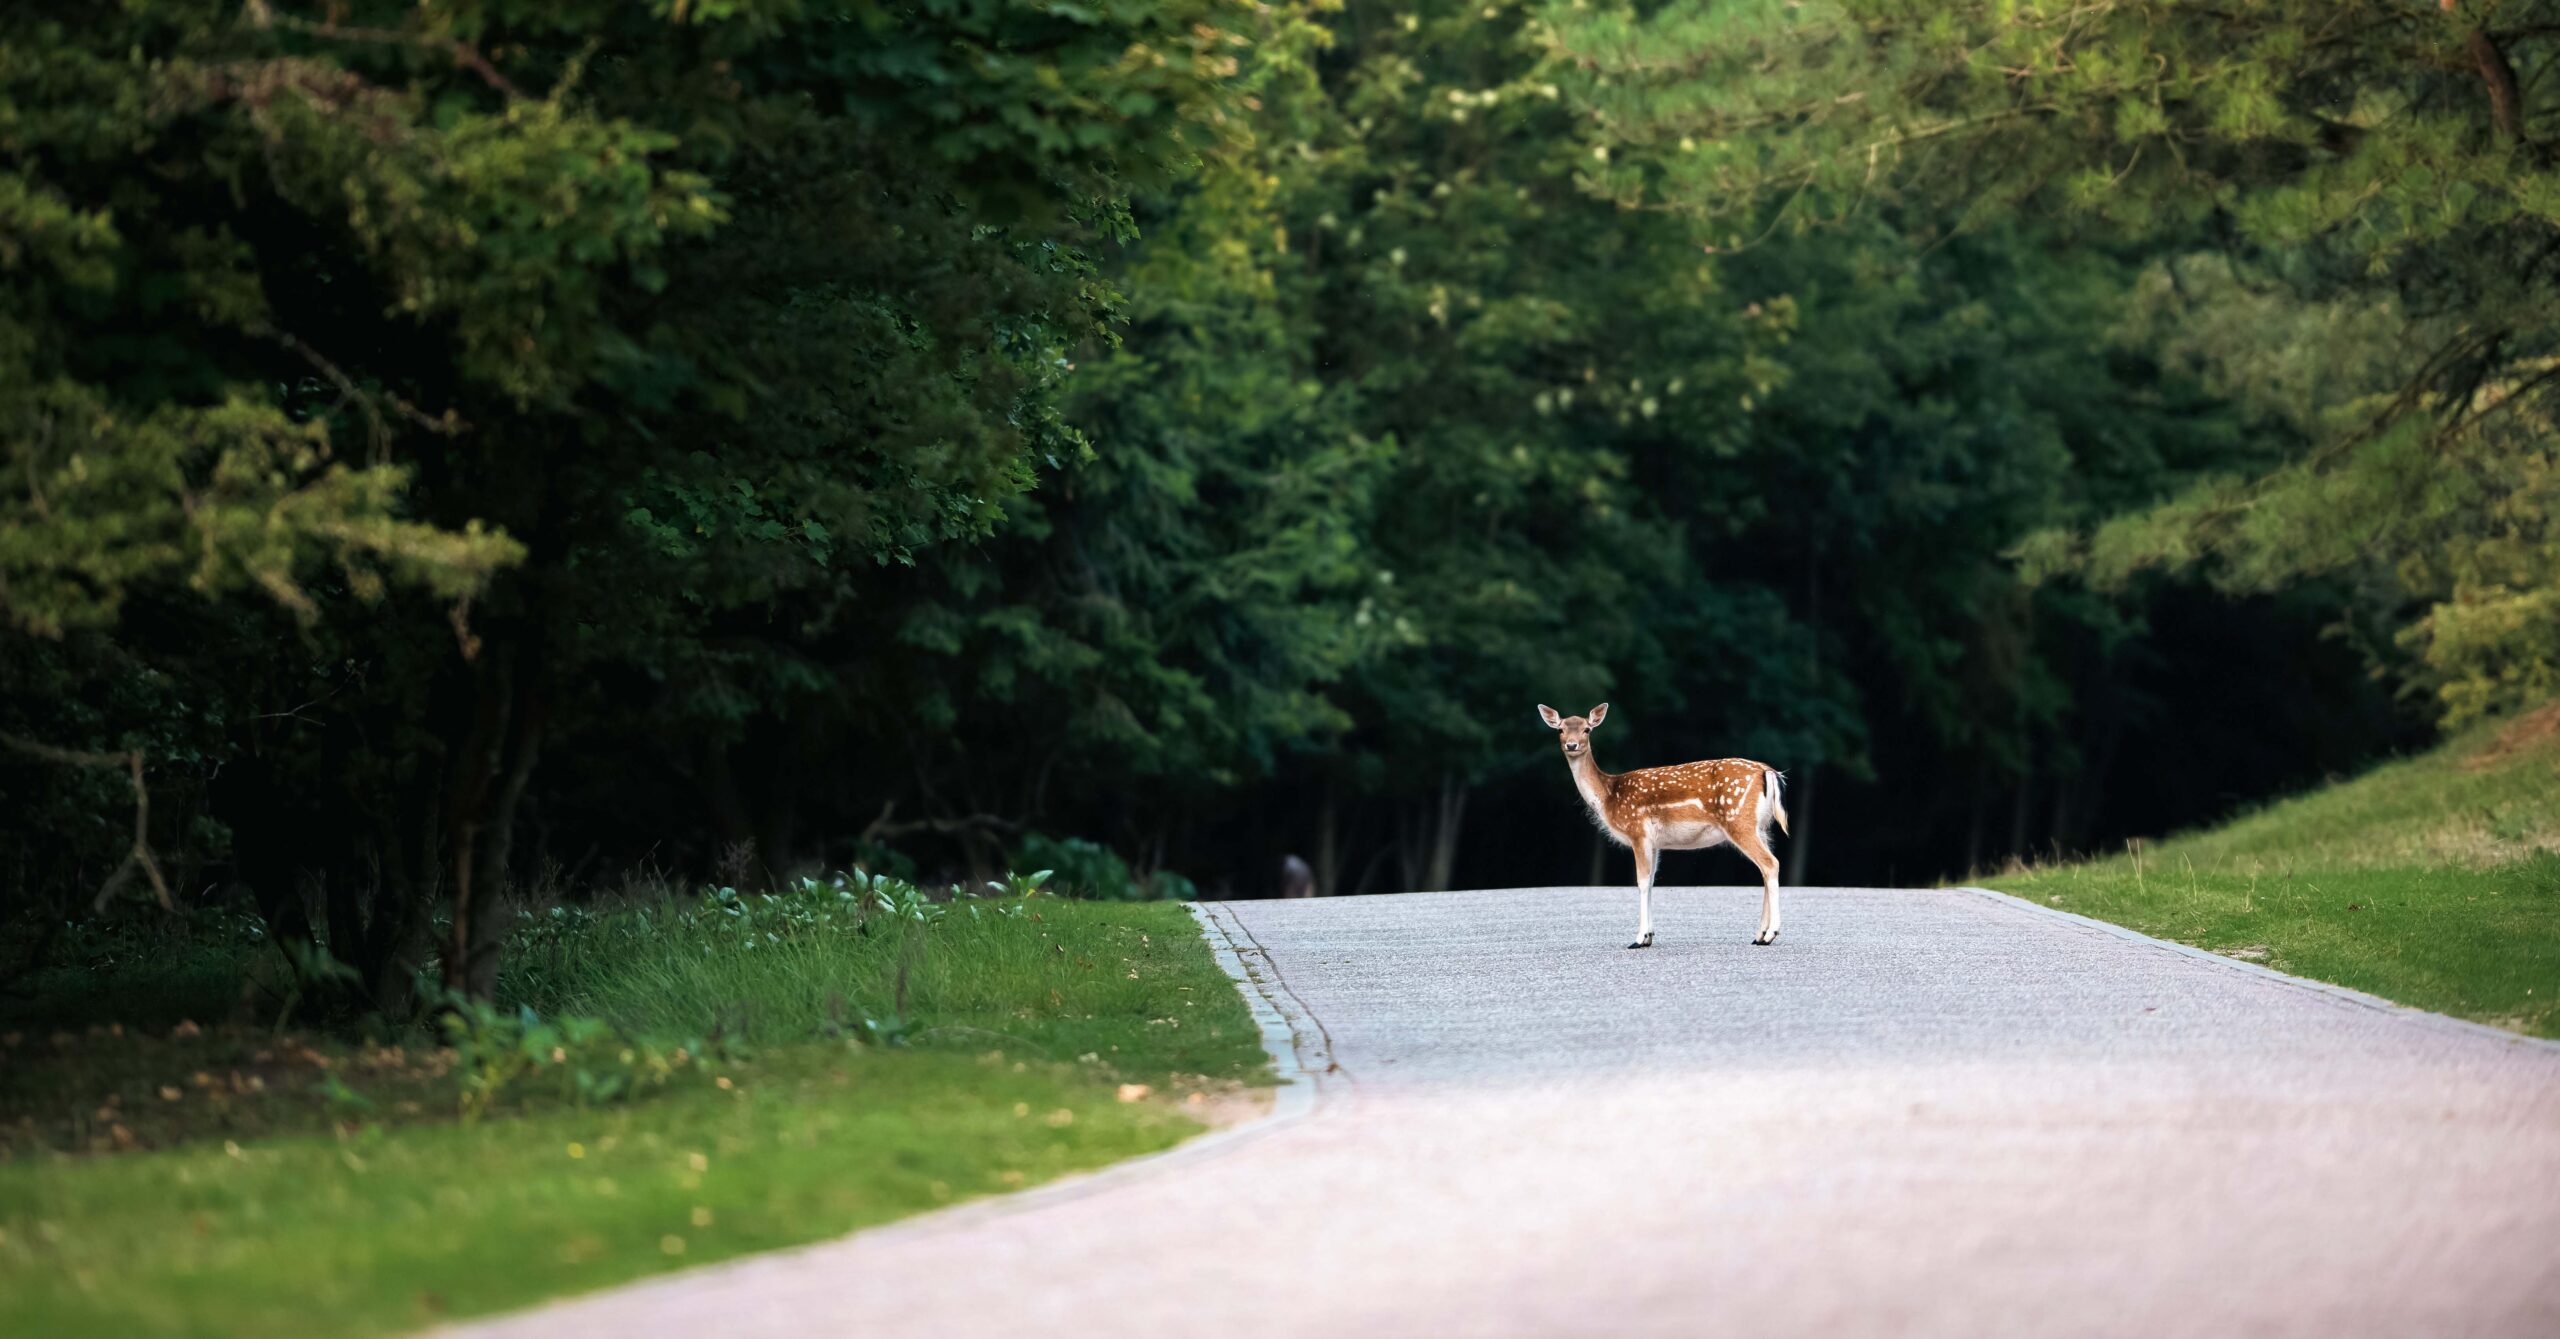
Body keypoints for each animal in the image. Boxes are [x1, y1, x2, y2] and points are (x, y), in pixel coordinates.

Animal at [1525, 706, 1792, 947]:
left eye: (1587, 729)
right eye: (1560, 729)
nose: (1571, 745)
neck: (1609, 796)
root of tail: (1768, 772)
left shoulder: (1637, 831)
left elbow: (1642, 882)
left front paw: (1638, 938)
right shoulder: (1654, 843)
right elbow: (1652, 881)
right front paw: (1650, 936)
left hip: (1739, 821)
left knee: (1770, 864)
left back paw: (1770, 934)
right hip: (1761, 826)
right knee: (1766, 867)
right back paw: (1759, 935)